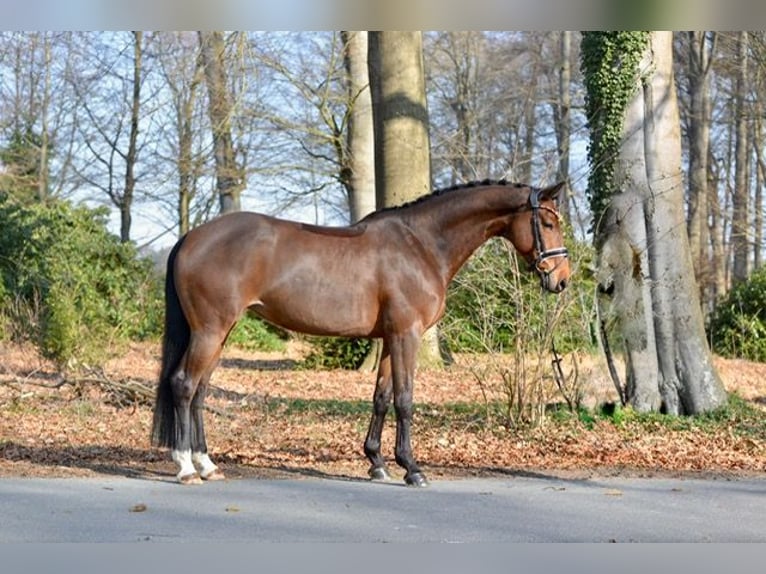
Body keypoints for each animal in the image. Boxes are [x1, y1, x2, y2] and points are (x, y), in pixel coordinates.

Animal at [151, 179, 571, 486]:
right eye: (549, 224)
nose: (562, 280)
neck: (421, 244)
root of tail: (190, 238)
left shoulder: (389, 337)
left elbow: (381, 397)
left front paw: (377, 463)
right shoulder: (406, 335)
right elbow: (404, 399)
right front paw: (412, 468)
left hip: (220, 333)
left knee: (200, 390)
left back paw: (207, 465)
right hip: (210, 330)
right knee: (184, 384)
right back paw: (185, 468)